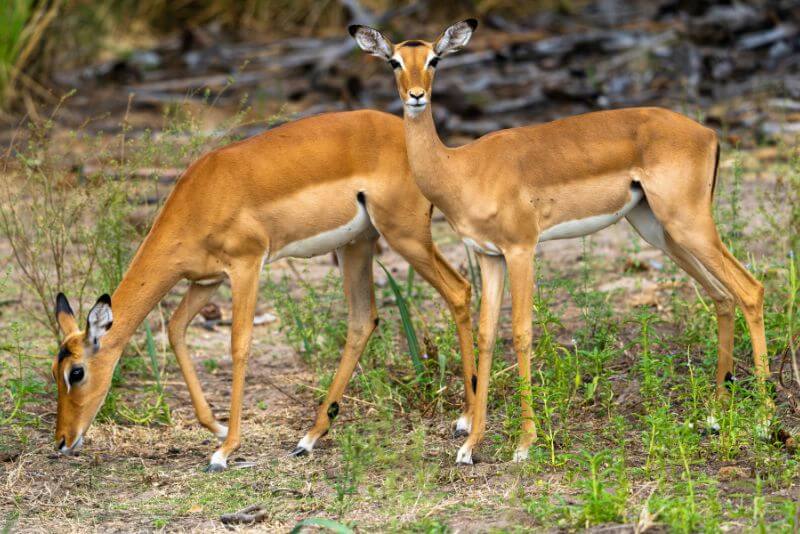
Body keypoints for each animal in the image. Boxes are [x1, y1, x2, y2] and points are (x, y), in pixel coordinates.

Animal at [52, 110, 476, 471]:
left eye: (77, 372)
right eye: (55, 371)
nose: (62, 440)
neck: (202, 195)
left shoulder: (246, 266)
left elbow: (239, 345)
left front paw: (224, 451)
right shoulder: (206, 280)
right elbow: (175, 329)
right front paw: (218, 428)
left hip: (405, 236)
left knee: (460, 290)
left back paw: (466, 425)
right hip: (357, 245)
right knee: (362, 319)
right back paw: (308, 438)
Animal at [350, 20, 770, 464]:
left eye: (434, 59)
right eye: (394, 61)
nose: (416, 96)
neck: (460, 168)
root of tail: (708, 132)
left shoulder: (522, 249)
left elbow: (521, 333)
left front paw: (524, 444)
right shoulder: (488, 256)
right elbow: (486, 335)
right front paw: (470, 445)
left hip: (689, 224)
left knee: (750, 289)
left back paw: (762, 420)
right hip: (661, 231)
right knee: (722, 296)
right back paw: (714, 413)